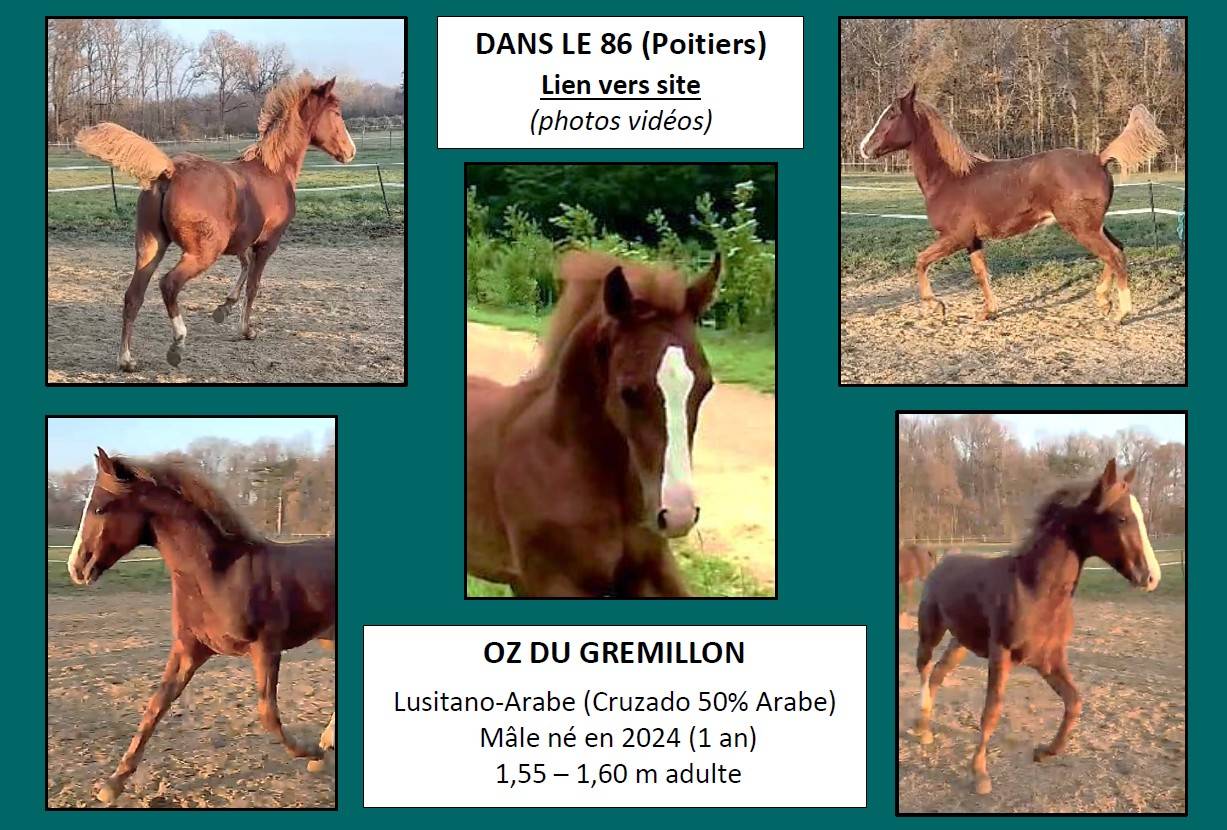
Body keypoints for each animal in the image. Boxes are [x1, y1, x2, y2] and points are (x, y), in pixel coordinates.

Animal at [65, 448, 336, 804]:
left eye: (100, 507)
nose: (76, 568)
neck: (219, 575)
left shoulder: (266, 648)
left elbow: (268, 714)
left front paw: (312, 754)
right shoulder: (189, 648)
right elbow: (155, 706)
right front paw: (113, 783)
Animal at [74, 75, 356, 372]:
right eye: (337, 113)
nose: (350, 151)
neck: (274, 170)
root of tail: (170, 172)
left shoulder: (241, 242)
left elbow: (244, 268)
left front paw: (224, 308)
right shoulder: (267, 243)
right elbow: (253, 285)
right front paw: (246, 330)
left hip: (150, 246)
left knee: (133, 296)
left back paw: (126, 359)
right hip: (203, 253)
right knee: (168, 284)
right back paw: (178, 343)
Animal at [858, 85, 1167, 322]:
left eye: (892, 114)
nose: (864, 148)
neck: (951, 178)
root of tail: (1098, 158)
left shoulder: (954, 237)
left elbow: (921, 261)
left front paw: (937, 306)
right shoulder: (972, 240)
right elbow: (981, 273)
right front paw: (988, 312)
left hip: (1082, 228)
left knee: (1114, 256)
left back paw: (1121, 313)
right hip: (1094, 226)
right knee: (1117, 250)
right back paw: (1103, 301)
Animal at [912, 459, 1161, 796]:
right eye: (1121, 518)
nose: (1152, 577)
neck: (1034, 590)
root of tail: (942, 559)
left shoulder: (1049, 659)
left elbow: (1074, 702)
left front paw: (1044, 751)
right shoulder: (1001, 654)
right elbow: (991, 711)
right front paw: (979, 774)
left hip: (960, 643)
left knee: (938, 674)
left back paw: (925, 728)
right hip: (931, 631)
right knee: (925, 670)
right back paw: (920, 726)